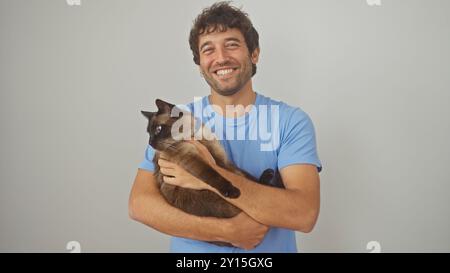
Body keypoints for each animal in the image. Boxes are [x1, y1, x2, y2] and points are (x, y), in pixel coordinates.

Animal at [142, 99, 282, 244]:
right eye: (149, 133)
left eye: (158, 129)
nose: (151, 143)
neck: (194, 134)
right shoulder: (193, 160)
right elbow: (214, 176)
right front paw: (233, 192)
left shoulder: (222, 160)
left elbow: (243, 175)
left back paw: (269, 175)